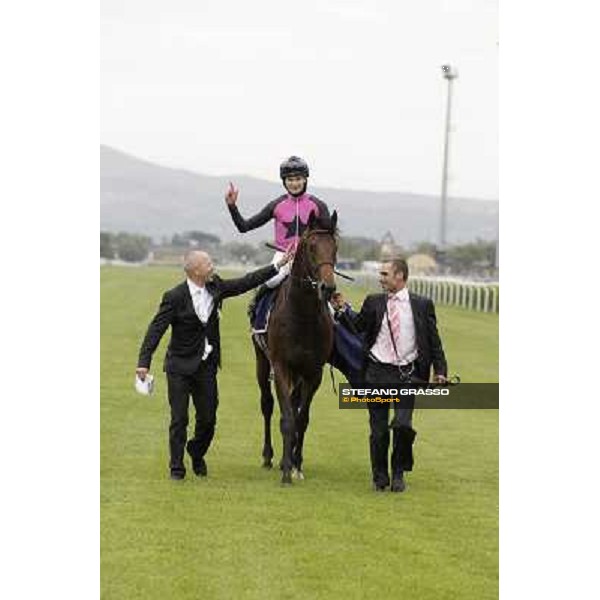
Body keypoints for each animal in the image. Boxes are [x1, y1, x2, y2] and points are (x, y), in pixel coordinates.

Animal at [252, 210, 338, 482]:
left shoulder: (313, 372)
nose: (328, 288)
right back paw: (269, 456)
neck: (303, 316)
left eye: (335, 247)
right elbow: (287, 418)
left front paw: (295, 464)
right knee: (267, 404)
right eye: (311, 247)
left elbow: (302, 418)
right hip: (262, 361)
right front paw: (286, 472)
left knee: (293, 403)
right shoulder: (281, 366)